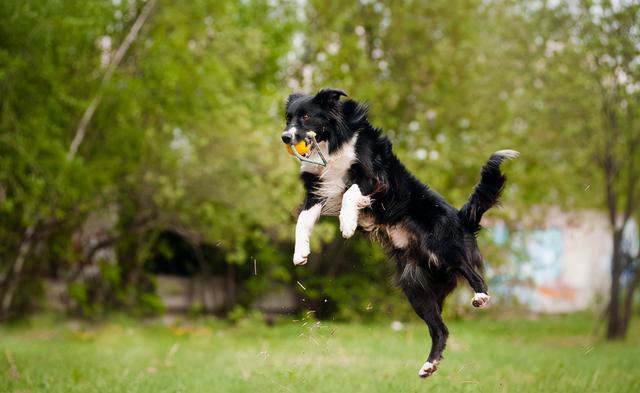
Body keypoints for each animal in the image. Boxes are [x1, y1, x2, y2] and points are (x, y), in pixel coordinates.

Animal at [282, 88, 516, 376]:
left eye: (306, 116)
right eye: (288, 117)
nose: (285, 136)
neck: (332, 142)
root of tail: (462, 219)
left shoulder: (372, 178)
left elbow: (350, 193)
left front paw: (347, 224)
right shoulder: (317, 190)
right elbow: (302, 221)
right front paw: (300, 253)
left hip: (444, 247)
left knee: (473, 273)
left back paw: (481, 296)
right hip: (415, 288)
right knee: (440, 328)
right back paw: (429, 365)